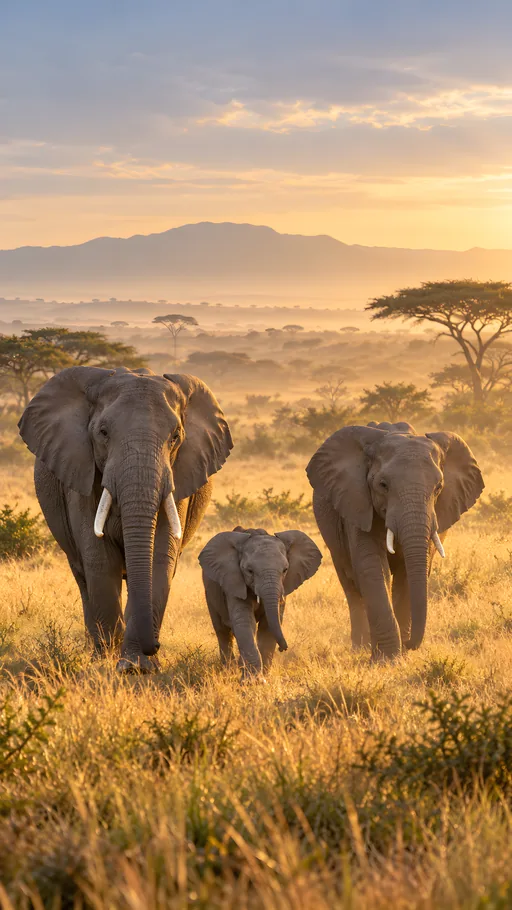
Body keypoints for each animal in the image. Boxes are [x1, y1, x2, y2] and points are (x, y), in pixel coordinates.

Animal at [18, 366, 232, 672]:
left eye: (176, 436)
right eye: (103, 433)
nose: (155, 646)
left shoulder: (178, 478)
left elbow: (158, 559)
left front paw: (137, 667)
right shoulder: (82, 474)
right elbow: (99, 559)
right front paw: (109, 664)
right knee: (83, 576)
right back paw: (96, 650)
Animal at [198, 527, 322, 679]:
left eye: (285, 570)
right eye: (249, 571)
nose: (283, 648)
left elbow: (268, 625)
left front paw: (264, 677)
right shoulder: (234, 582)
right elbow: (245, 621)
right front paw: (253, 680)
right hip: (210, 594)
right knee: (222, 631)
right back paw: (229, 671)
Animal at [306, 421, 484, 659]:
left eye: (439, 487)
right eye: (383, 485)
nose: (410, 643)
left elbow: (409, 571)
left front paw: (401, 654)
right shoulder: (357, 503)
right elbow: (371, 567)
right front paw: (387, 659)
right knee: (350, 582)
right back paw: (361, 648)